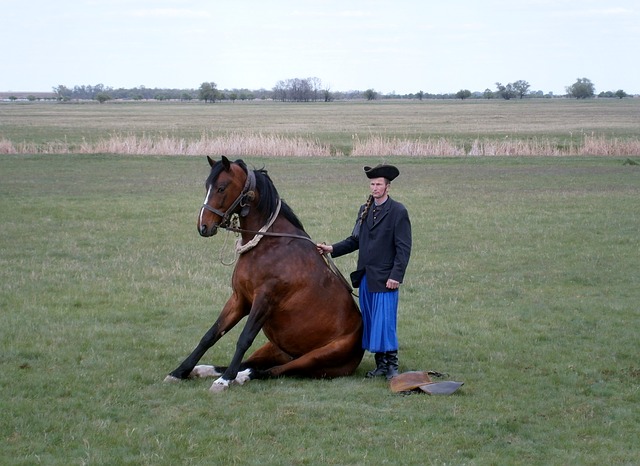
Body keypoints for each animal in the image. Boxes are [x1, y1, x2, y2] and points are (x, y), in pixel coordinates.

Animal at [164, 157, 364, 394]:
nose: (203, 226)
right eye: (207, 187)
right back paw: (204, 370)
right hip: (273, 349)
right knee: (252, 364)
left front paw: (224, 381)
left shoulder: (264, 300)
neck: (269, 243)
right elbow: (211, 335)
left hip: (314, 358)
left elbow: (244, 339)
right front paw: (179, 372)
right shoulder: (240, 299)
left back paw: (237, 377)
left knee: (271, 371)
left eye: (221, 188)